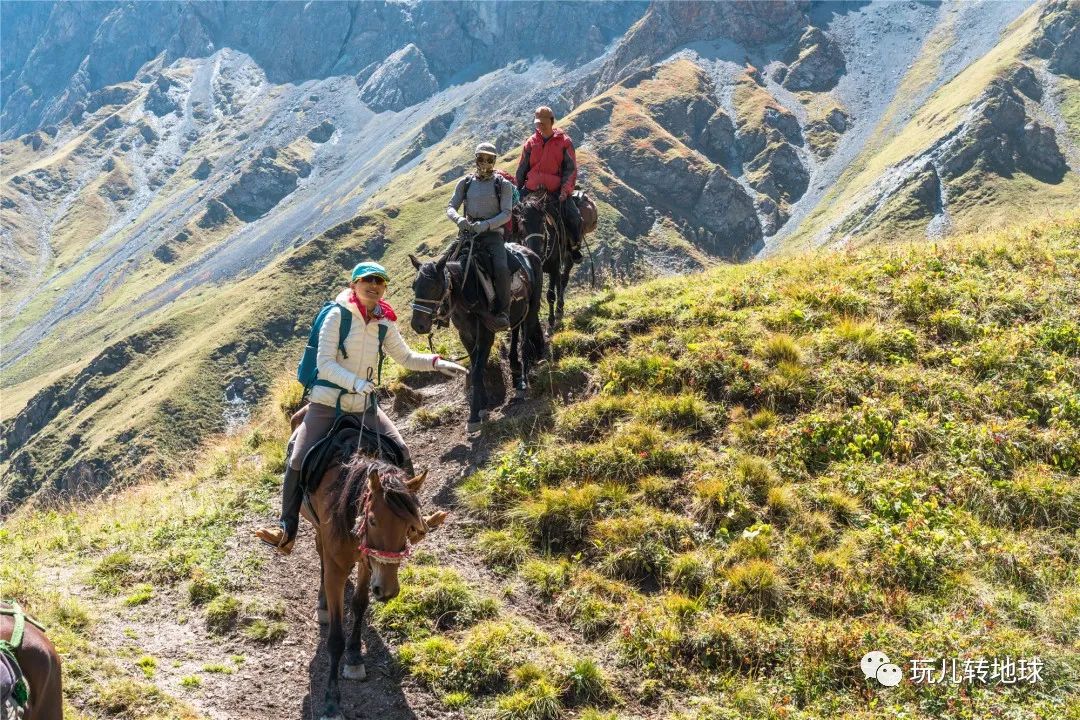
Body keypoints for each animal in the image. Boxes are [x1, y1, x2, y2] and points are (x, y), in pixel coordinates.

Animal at [287, 405, 447, 720]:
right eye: (372, 520)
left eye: (410, 526)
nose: (388, 591)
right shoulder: (338, 567)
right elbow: (334, 637)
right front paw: (331, 703)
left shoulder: (366, 561)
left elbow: (360, 604)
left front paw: (354, 656)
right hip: (316, 528)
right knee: (320, 554)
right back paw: (322, 602)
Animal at [518, 195, 578, 334]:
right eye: (523, 222)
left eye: (542, 221)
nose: (535, 251)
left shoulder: (554, 267)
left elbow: (550, 295)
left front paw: (550, 323)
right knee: (560, 281)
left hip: (568, 257)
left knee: (563, 279)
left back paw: (559, 310)